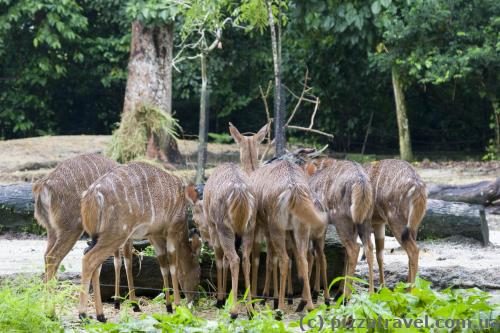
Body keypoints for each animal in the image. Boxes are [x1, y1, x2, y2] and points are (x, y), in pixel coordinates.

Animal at [78, 161, 199, 322]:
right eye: (198, 272)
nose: (193, 300)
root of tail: (92, 194)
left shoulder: (154, 236)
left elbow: (163, 267)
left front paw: (168, 306)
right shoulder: (173, 230)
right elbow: (173, 266)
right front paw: (177, 306)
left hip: (99, 236)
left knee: (94, 262)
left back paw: (101, 315)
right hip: (116, 234)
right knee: (89, 260)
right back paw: (83, 314)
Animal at [188, 162, 258, 318]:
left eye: (194, 220)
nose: (205, 241)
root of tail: (240, 191)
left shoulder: (213, 227)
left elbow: (220, 259)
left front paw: (220, 299)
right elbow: (225, 260)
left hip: (223, 228)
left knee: (234, 259)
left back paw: (234, 311)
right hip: (249, 228)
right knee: (245, 260)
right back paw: (250, 310)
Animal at [229, 122, 326, 312]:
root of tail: (294, 189)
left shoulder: (260, 226)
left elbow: (262, 259)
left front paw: (264, 297)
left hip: (276, 225)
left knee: (284, 259)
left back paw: (280, 306)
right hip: (301, 227)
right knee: (305, 257)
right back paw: (308, 304)